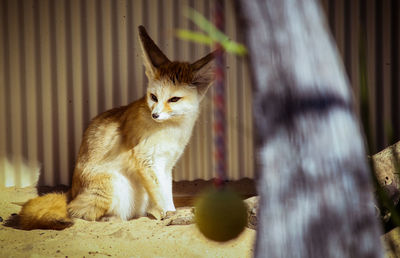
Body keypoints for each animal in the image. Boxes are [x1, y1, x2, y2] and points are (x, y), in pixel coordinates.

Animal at [16, 25, 216, 229]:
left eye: (174, 99)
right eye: (153, 97)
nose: (155, 115)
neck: (172, 130)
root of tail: (71, 193)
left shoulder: (166, 165)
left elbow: (167, 195)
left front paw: (173, 213)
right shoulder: (146, 160)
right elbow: (160, 197)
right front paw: (169, 215)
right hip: (115, 186)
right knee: (79, 213)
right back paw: (112, 219)